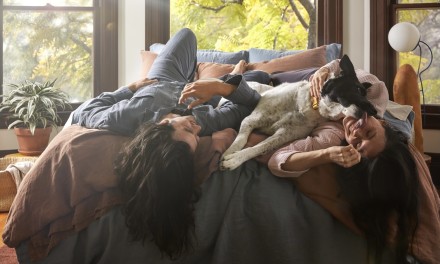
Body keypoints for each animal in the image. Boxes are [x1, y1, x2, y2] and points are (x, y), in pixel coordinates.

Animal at [222, 56, 376, 171]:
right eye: (358, 89)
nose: (374, 111)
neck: (311, 106)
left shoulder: (283, 135)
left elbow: (260, 147)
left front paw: (235, 159)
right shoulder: (250, 119)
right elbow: (240, 140)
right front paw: (230, 153)